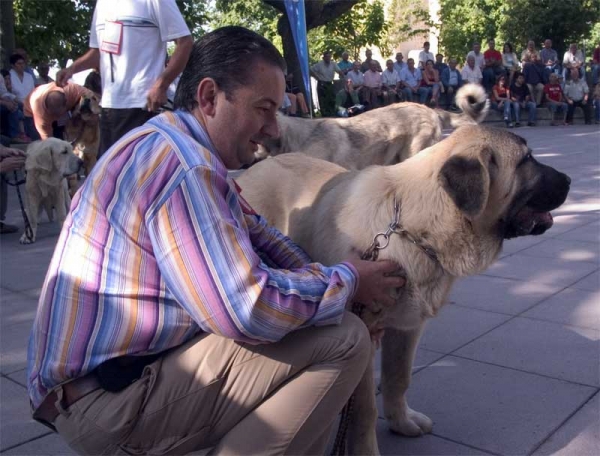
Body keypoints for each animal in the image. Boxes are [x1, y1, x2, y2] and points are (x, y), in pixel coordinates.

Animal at [236, 124, 572, 452]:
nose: (569, 179)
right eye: (526, 160)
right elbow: (364, 408)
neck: (415, 228)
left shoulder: (407, 326)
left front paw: (401, 421)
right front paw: (366, 449)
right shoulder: (364, 331)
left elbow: (398, 377)